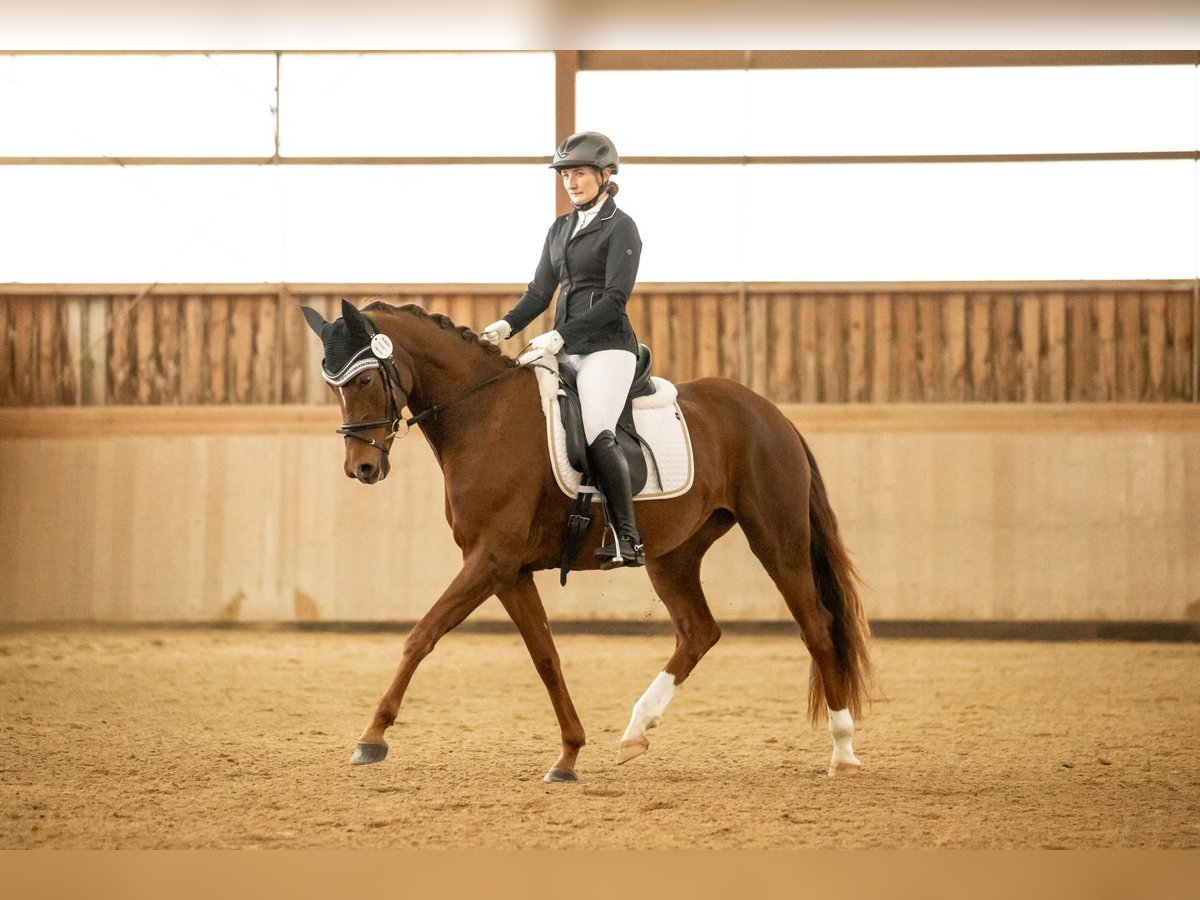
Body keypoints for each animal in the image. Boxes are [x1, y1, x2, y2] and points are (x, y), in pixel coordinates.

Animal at [302, 299, 873, 782]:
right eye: (335, 387)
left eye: (367, 377)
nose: (362, 468)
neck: (484, 416)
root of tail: (770, 412)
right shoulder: (507, 571)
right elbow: (546, 657)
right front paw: (569, 755)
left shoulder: (490, 560)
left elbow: (422, 635)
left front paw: (372, 737)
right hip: (673, 553)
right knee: (699, 632)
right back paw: (635, 732)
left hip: (777, 537)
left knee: (818, 629)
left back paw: (843, 752)